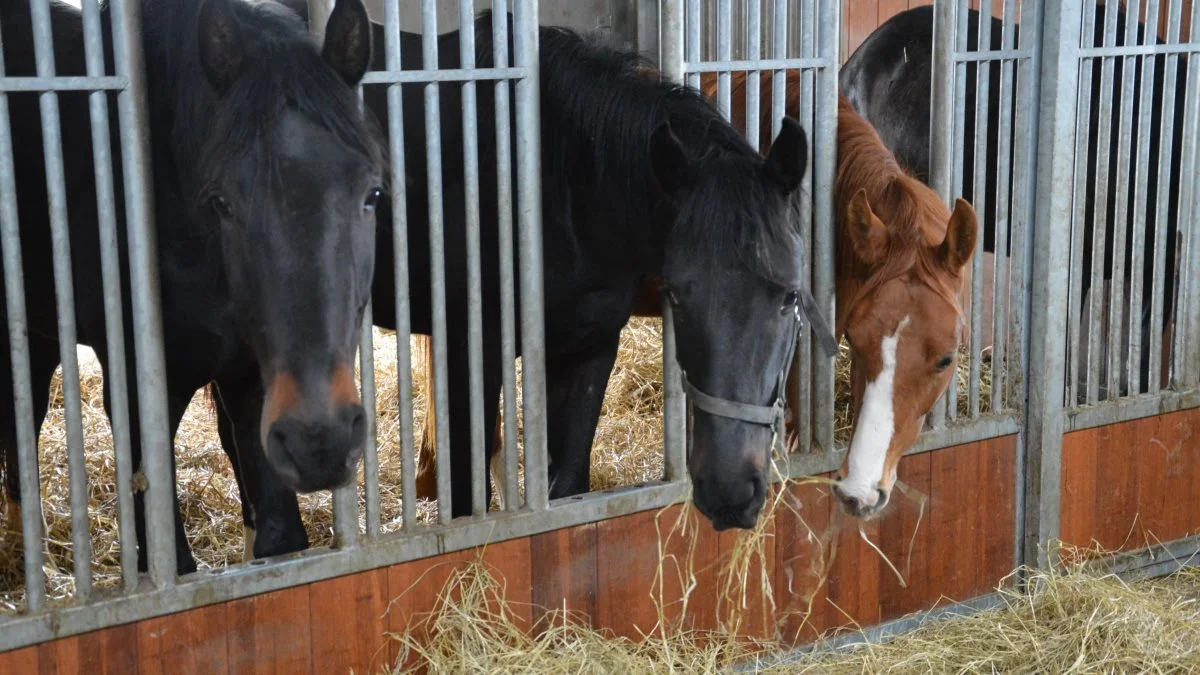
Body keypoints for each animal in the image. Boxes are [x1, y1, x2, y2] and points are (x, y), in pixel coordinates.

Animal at [0, 0, 381, 576]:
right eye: (221, 201)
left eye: (372, 194)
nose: (320, 439)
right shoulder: (138, 390)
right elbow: (170, 563)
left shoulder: (251, 381)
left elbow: (280, 538)